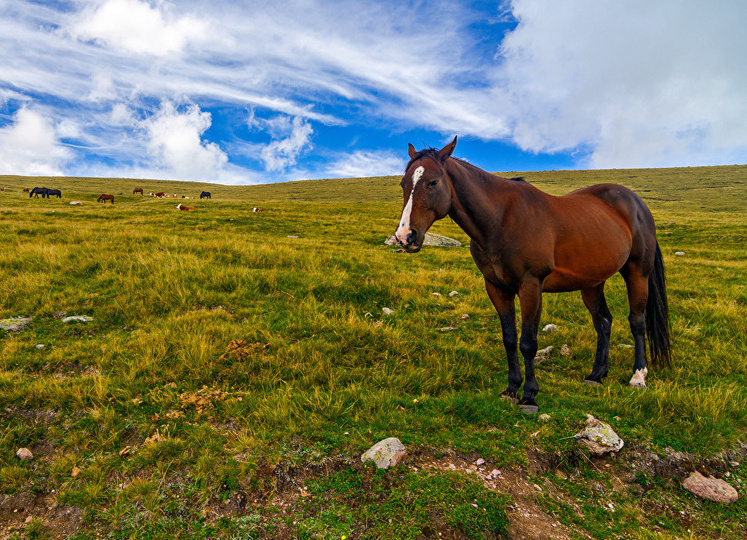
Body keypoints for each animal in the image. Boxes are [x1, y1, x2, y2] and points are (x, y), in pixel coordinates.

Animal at [398, 138, 672, 414]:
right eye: (403, 184)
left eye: (433, 182)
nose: (405, 236)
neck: (500, 220)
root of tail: (635, 202)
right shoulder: (496, 287)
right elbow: (509, 338)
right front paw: (511, 389)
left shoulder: (530, 286)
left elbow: (528, 342)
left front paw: (529, 395)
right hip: (592, 283)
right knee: (603, 322)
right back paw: (597, 374)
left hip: (637, 273)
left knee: (636, 321)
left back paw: (638, 376)